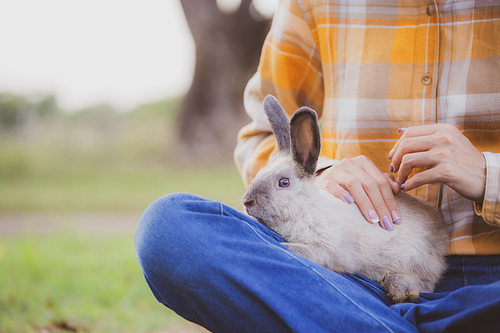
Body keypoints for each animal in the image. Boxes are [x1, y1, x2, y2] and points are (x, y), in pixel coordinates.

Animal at [242, 94, 450, 302]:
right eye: (259, 173)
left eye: (284, 182)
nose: (247, 202)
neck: (305, 209)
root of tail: (440, 231)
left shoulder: (327, 250)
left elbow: (309, 252)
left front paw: (285, 247)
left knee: (426, 282)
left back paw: (401, 290)